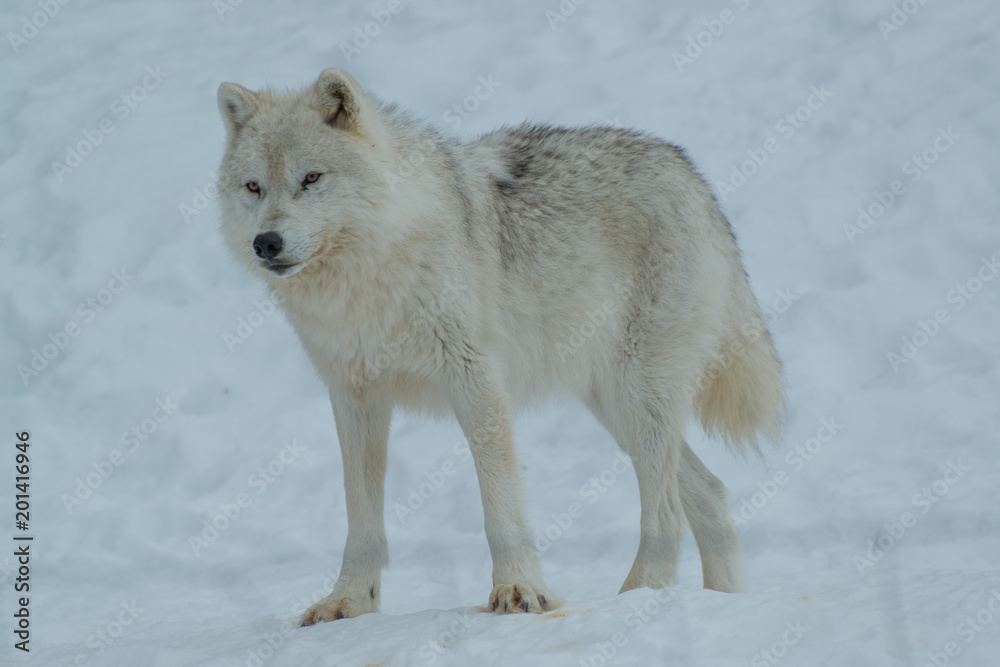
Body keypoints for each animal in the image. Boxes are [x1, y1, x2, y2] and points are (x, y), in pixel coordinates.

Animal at [215, 68, 784, 625]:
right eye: (253, 187)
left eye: (311, 178)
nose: (265, 243)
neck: (372, 278)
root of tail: (687, 170)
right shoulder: (353, 395)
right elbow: (360, 517)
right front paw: (350, 602)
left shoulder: (476, 380)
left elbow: (499, 500)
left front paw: (519, 590)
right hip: (616, 407)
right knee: (709, 493)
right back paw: (717, 602)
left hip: (638, 398)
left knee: (667, 512)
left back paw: (633, 598)